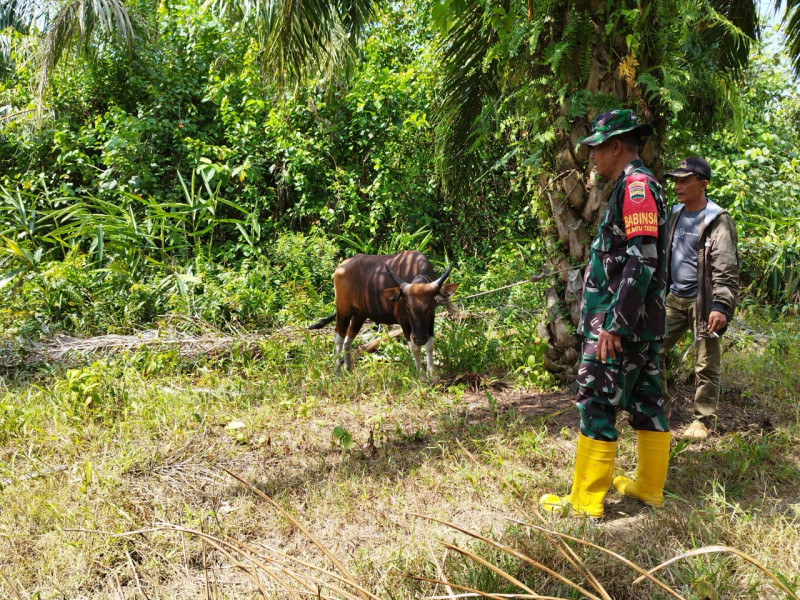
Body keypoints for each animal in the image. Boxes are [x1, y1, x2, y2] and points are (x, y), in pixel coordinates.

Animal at [310, 252, 460, 376]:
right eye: (408, 307)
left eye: (430, 307)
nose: (419, 338)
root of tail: (340, 268)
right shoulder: (404, 320)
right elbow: (414, 348)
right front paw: (420, 374)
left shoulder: (430, 320)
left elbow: (430, 345)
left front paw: (431, 373)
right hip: (343, 310)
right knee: (338, 337)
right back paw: (336, 372)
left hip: (359, 314)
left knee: (348, 339)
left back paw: (348, 369)